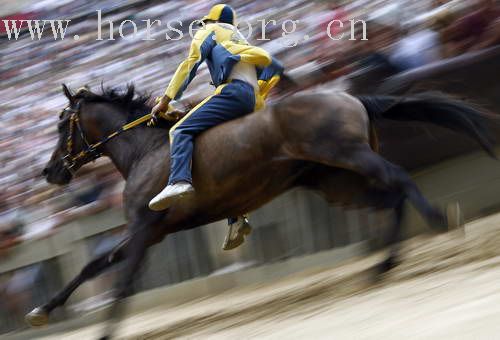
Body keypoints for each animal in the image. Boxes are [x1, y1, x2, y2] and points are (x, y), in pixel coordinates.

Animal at [24, 83, 496, 338]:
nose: (50, 171)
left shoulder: (144, 227)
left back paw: (439, 221)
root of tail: (350, 98)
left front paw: (106, 329)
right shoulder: (152, 230)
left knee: (399, 179)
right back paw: (383, 265)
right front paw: (42, 311)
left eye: (62, 123)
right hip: (336, 181)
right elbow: (93, 266)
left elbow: (121, 283)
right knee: (390, 199)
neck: (146, 149)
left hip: (352, 158)